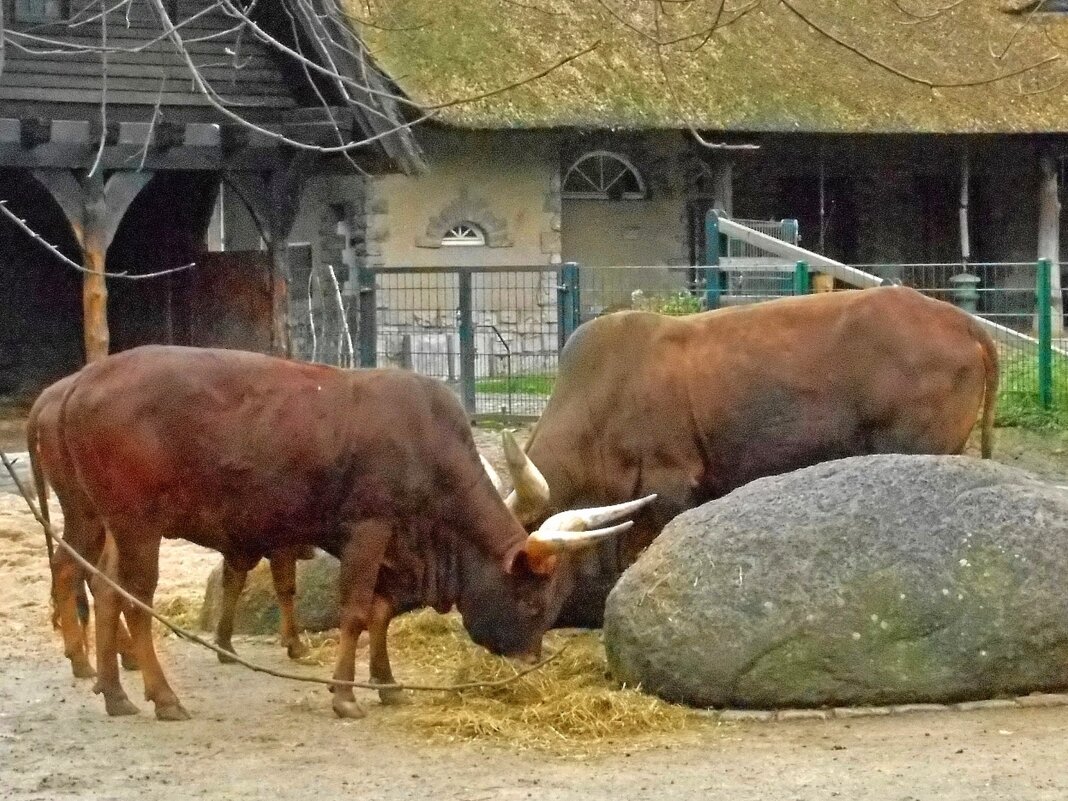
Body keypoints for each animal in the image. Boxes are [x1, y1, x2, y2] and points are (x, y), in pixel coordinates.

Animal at [39, 346, 649, 721]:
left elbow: (379, 613)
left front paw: (386, 683)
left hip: (102, 522)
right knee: (131, 600)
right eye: (531, 602)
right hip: (137, 526)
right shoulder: (368, 530)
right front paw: (344, 695)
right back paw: (160, 696)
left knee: (101, 588)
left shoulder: (392, 546)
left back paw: (114, 691)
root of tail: (80, 383)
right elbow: (356, 610)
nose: (527, 666)